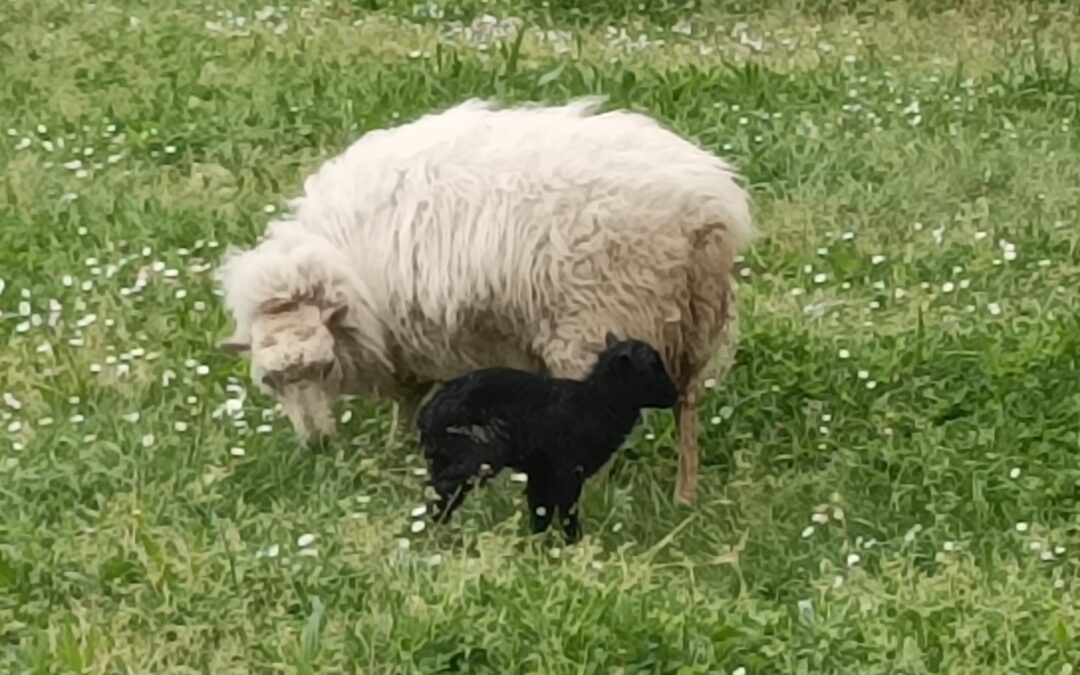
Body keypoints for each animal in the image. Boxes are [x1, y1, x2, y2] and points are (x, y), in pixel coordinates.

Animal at [214, 98, 756, 501]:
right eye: (270, 381)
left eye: (322, 367)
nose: (318, 446)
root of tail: (708, 205)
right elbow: (408, 398)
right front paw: (395, 451)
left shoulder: (402, 327)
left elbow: (406, 394)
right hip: (693, 320)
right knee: (688, 404)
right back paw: (685, 496)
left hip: (600, 318)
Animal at [416, 332, 678, 542]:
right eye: (654, 368)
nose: (675, 394)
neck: (600, 403)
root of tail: (427, 414)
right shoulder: (568, 471)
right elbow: (566, 513)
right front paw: (574, 545)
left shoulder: (542, 473)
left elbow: (541, 512)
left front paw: (537, 549)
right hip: (478, 453)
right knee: (441, 490)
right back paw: (437, 536)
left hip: (446, 458)